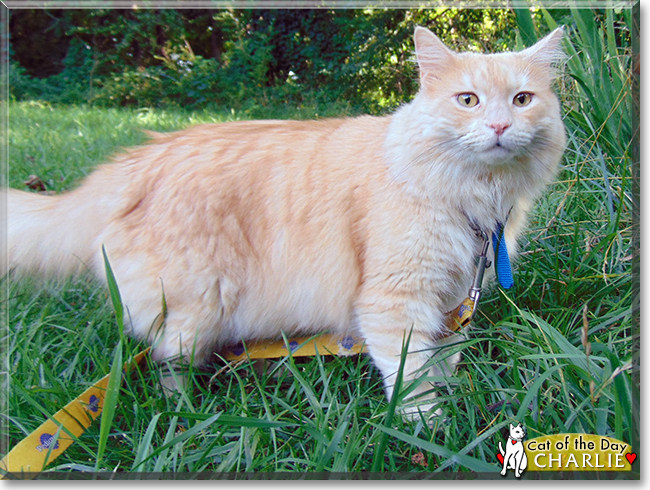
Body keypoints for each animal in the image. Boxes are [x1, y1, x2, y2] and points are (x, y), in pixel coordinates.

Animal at [3, 25, 560, 418]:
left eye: (522, 100)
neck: (474, 199)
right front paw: (427, 427)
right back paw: (186, 414)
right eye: (468, 100)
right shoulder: (395, 301)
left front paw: (455, 407)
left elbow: (445, 364)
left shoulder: (451, 302)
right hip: (196, 308)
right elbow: (412, 380)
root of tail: (135, 161)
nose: (499, 125)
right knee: (168, 366)